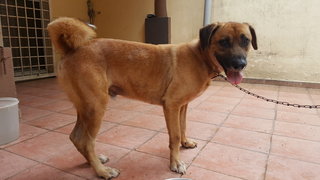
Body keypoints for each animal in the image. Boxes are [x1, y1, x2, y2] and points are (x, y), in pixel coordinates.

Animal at [47, 17, 258, 179]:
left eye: (246, 40)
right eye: (224, 41)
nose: (240, 64)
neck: (199, 56)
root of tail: (71, 49)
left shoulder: (182, 106)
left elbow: (182, 127)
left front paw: (185, 143)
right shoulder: (171, 105)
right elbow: (174, 136)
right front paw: (175, 163)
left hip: (85, 107)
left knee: (76, 137)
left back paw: (95, 161)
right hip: (96, 107)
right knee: (86, 141)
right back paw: (102, 171)